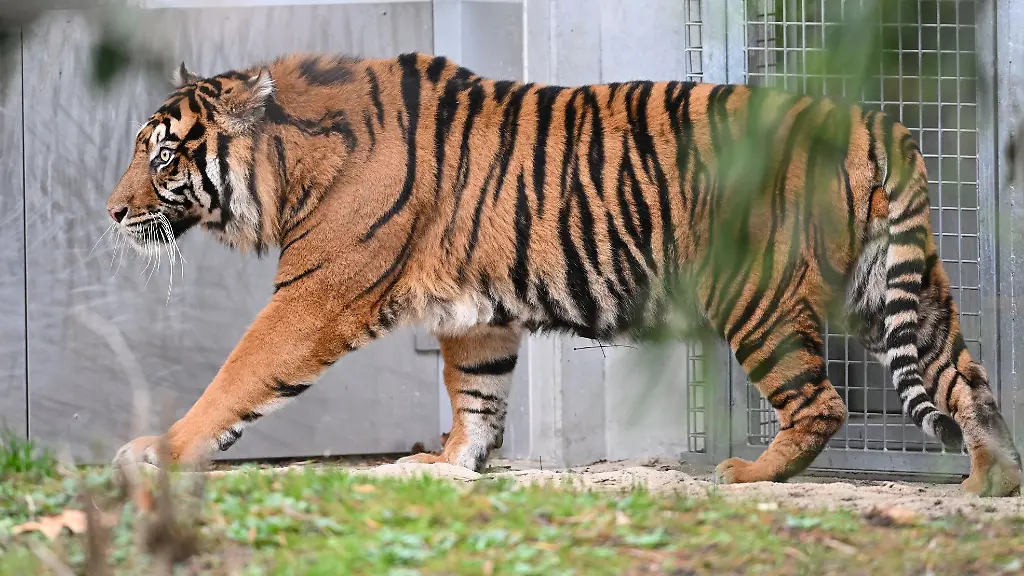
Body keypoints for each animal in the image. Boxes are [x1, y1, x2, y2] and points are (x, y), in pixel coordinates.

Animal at [106, 51, 1022, 497]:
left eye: (161, 156)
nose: (113, 214)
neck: (291, 168)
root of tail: (873, 122)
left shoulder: (314, 295)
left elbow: (237, 376)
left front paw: (157, 449)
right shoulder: (477, 315)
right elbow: (476, 395)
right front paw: (451, 464)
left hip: (758, 296)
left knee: (821, 401)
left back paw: (750, 476)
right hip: (897, 291)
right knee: (966, 382)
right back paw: (990, 484)